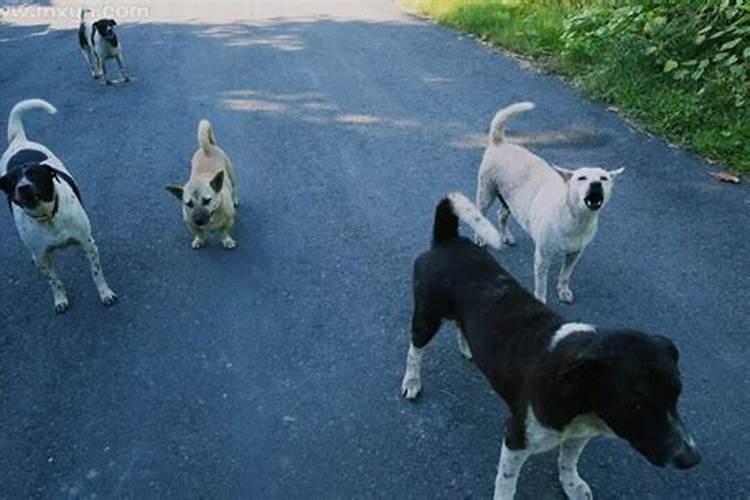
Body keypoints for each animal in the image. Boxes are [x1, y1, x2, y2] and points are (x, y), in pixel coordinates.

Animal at [0, 98, 117, 312]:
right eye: (13, 181)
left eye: (34, 174)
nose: (23, 188)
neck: (48, 216)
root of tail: (19, 140)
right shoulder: (43, 258)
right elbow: (54, 281)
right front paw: (60, 299)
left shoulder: (87, 244)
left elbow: (97, 273)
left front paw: (105, 294)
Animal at [167, 119, 238, 248]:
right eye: (188, 204)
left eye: (207, 201)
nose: (198, 220)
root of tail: (208, 147)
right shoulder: (190, 223)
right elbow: (198, 233)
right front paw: (200, 240)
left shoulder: (229, 221)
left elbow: (225, 232)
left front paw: (227, 240)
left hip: (232, 175)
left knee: (235, 188)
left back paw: (235, 199)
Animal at [402, 192, 704, 500]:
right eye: (635, 403)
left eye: (677, 394)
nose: (692, 459)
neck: (577, 392)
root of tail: (448, 239)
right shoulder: (516, 439)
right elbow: (507, 483)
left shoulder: (580, 434)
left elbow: (568, 461)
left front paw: (572, 485)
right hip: (426, 317)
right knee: (414, 352)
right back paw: (412, 382)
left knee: (460, 326)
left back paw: (467, 349)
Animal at [478, 101, 624, 302]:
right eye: (581, 178)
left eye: (604, 178)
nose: (595, 184)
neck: (576, 218)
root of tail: (500, 142)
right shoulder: (543, 256)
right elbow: (541, 285)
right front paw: (540, 300)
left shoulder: (574, 253)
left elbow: (565, 275)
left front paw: (563, 290)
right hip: (486, 193)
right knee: (480, 214)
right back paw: (479, 238)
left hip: (510, 200)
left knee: (502, 214)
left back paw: (506, 236)